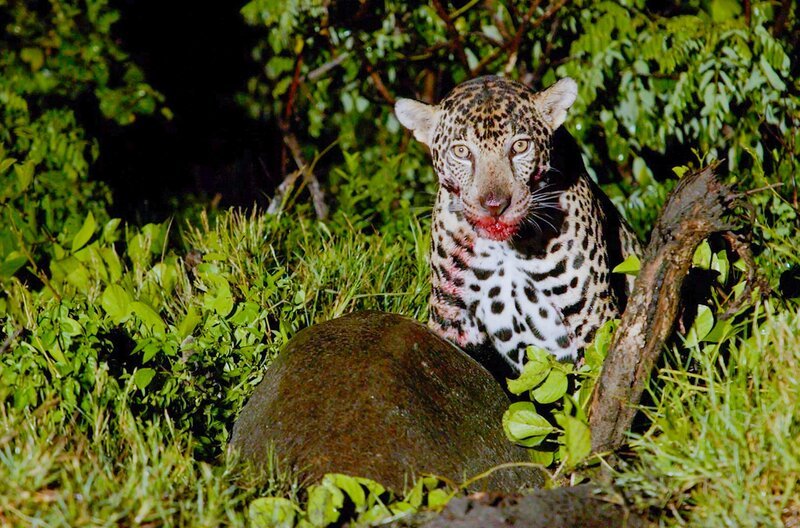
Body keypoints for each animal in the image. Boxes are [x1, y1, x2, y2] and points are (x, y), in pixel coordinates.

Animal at [395, 75, 641, 382]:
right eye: (462, 151)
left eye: (520, 147)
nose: (495, 205)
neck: (505, 249)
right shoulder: (450, 317)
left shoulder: (592, 316)